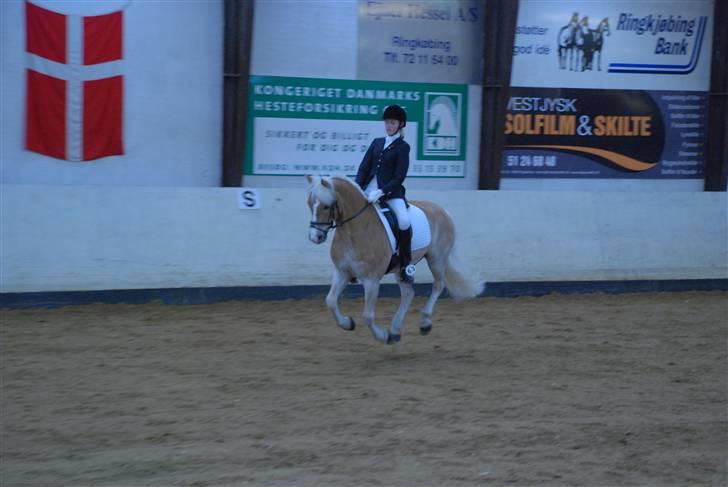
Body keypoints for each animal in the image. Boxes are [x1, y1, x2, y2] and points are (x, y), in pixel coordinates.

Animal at [308, 173, 484, 346]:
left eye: (325, 206)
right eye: (309, 204)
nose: (315, 237)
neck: (354, 231)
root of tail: (443, 211)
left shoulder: (371, 280)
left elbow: (367, 315)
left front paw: (382, 336)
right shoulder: (341, 272)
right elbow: (330, 301)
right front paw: (348, 323)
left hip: (436, 259)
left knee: (438, 285)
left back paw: (424, 323)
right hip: (402, 268)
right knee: (408, 293)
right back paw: (395, 330)